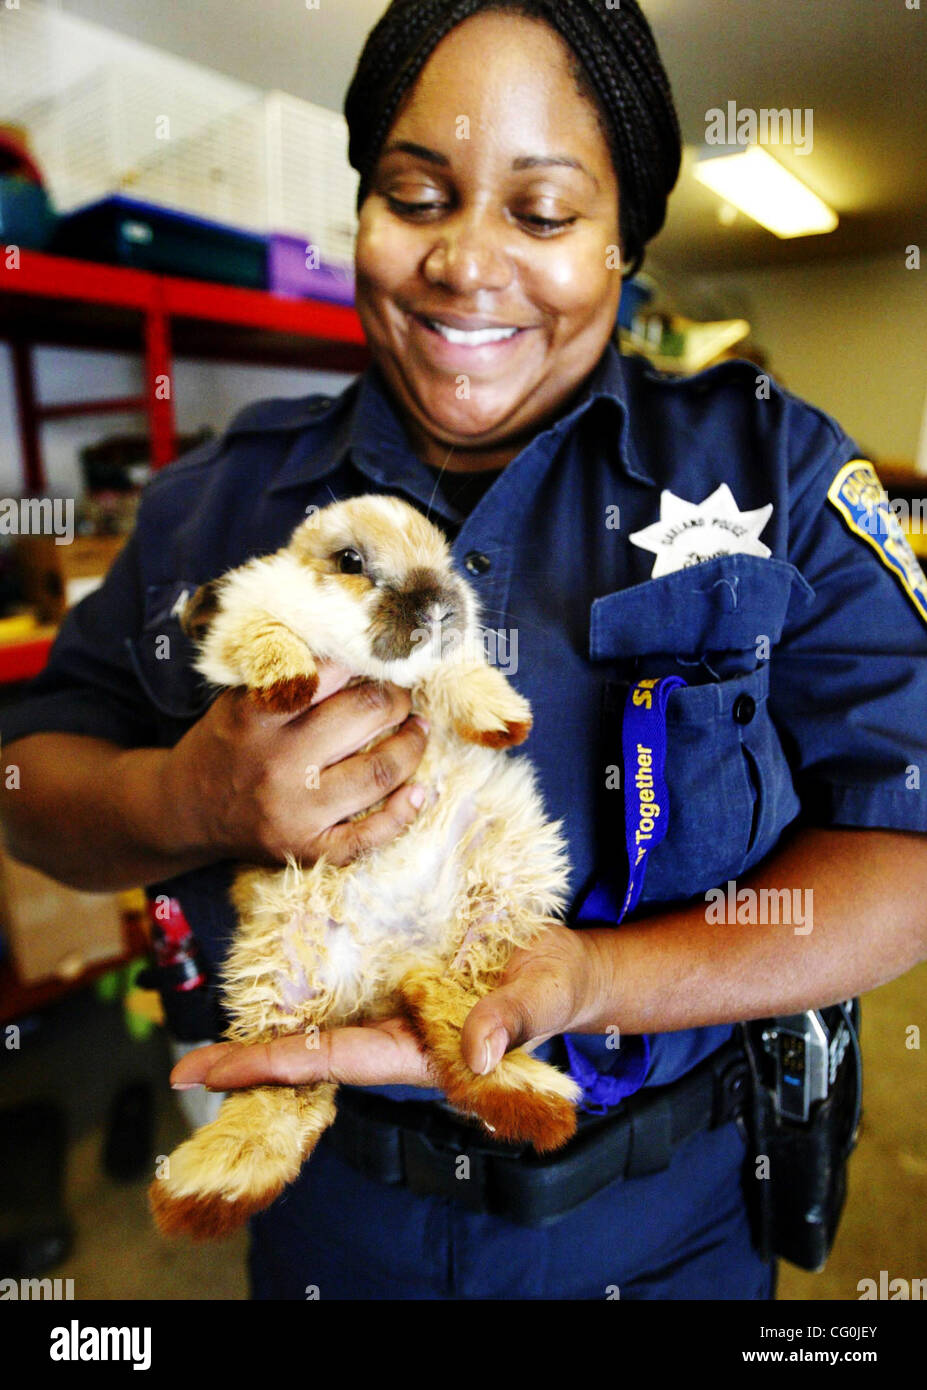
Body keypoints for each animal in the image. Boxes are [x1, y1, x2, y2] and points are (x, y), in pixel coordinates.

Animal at [151, 494, 580, 1245]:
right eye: (350, 561)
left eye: (441, 557)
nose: (438, 607)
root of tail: (397, 962)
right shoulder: (242, 620)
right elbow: (262, 634)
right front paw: (289, 684)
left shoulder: (439, 671)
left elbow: (454, 673)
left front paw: (504, 721)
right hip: (284, 964)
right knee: (286, 1089)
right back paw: (209, 1188)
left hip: (497, 888)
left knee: (462, 1011)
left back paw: (532, 1098)